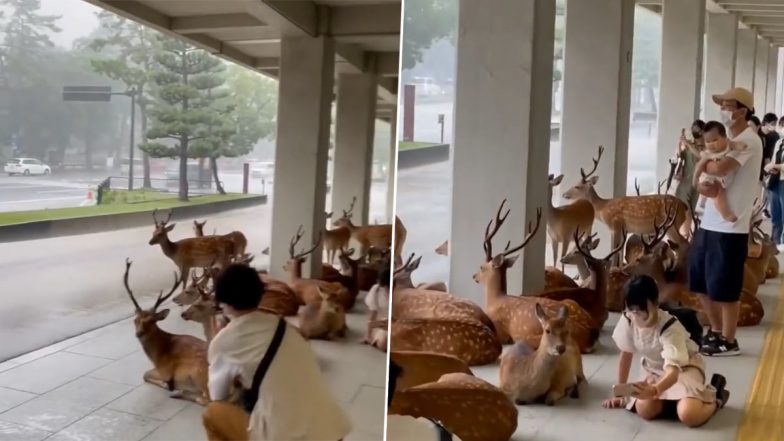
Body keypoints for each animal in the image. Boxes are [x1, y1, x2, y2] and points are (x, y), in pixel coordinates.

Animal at [121, 258, 210, 406]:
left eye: (152, 321)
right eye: (135, 320)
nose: (139, 333)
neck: (157, 355)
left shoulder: (164, 370)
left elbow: (145, 374)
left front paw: (167, 385)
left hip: (199, 375)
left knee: (207, 400)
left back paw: (178, 392)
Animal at [560, 146, 688, 266]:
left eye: (577, 186)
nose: (564, 194)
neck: (603, 209)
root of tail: (685, 206)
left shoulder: (616, 224)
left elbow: (614, 251)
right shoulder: (623, 229)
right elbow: (620, 252)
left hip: (671, 224)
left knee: (683, 243)